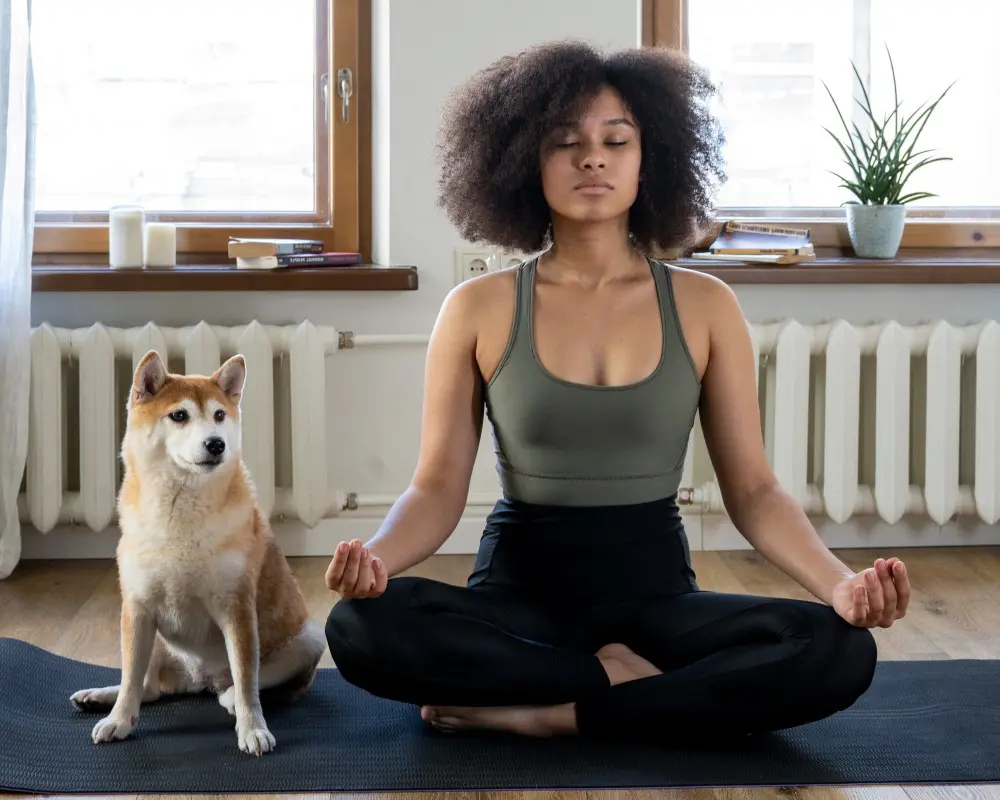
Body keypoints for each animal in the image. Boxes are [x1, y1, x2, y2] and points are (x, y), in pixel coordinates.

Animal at [72, 352, 326, 756]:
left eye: (219, 415)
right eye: (179, 415)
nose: (216, 444)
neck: (181, 512)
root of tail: (200, 680)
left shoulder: (237, 608)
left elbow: (247, 679)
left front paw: (252, 729)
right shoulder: (138, 608)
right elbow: (130, 680)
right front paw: (118, 719)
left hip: (308, 638)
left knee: (245, 685)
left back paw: (229, 698)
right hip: (156, 641)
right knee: (147, 687)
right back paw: (100, 697)